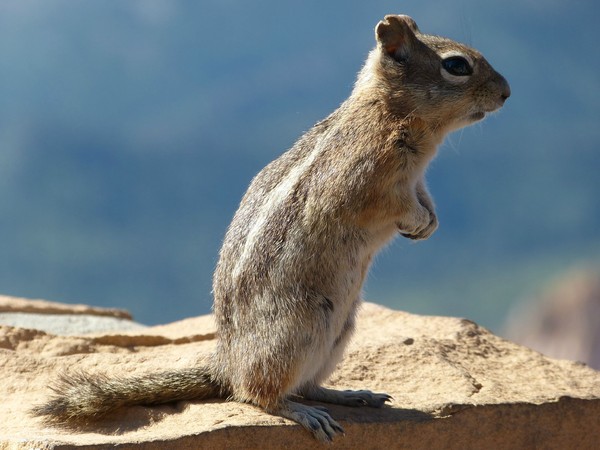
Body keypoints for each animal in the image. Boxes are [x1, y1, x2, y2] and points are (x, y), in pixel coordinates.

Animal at [31, 14, 510, 442]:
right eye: (457, 66)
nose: (507, 92)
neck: (387, 112)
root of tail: (225, 364)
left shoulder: (418, 181)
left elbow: (426, 200)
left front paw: (430, 223)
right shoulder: (371, 182)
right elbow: (393, 205)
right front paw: (418, 222)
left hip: (339, 333)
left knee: (307, 384)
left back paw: (350, 394)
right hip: (295, 333)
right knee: (256, 394)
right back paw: (303, 412)